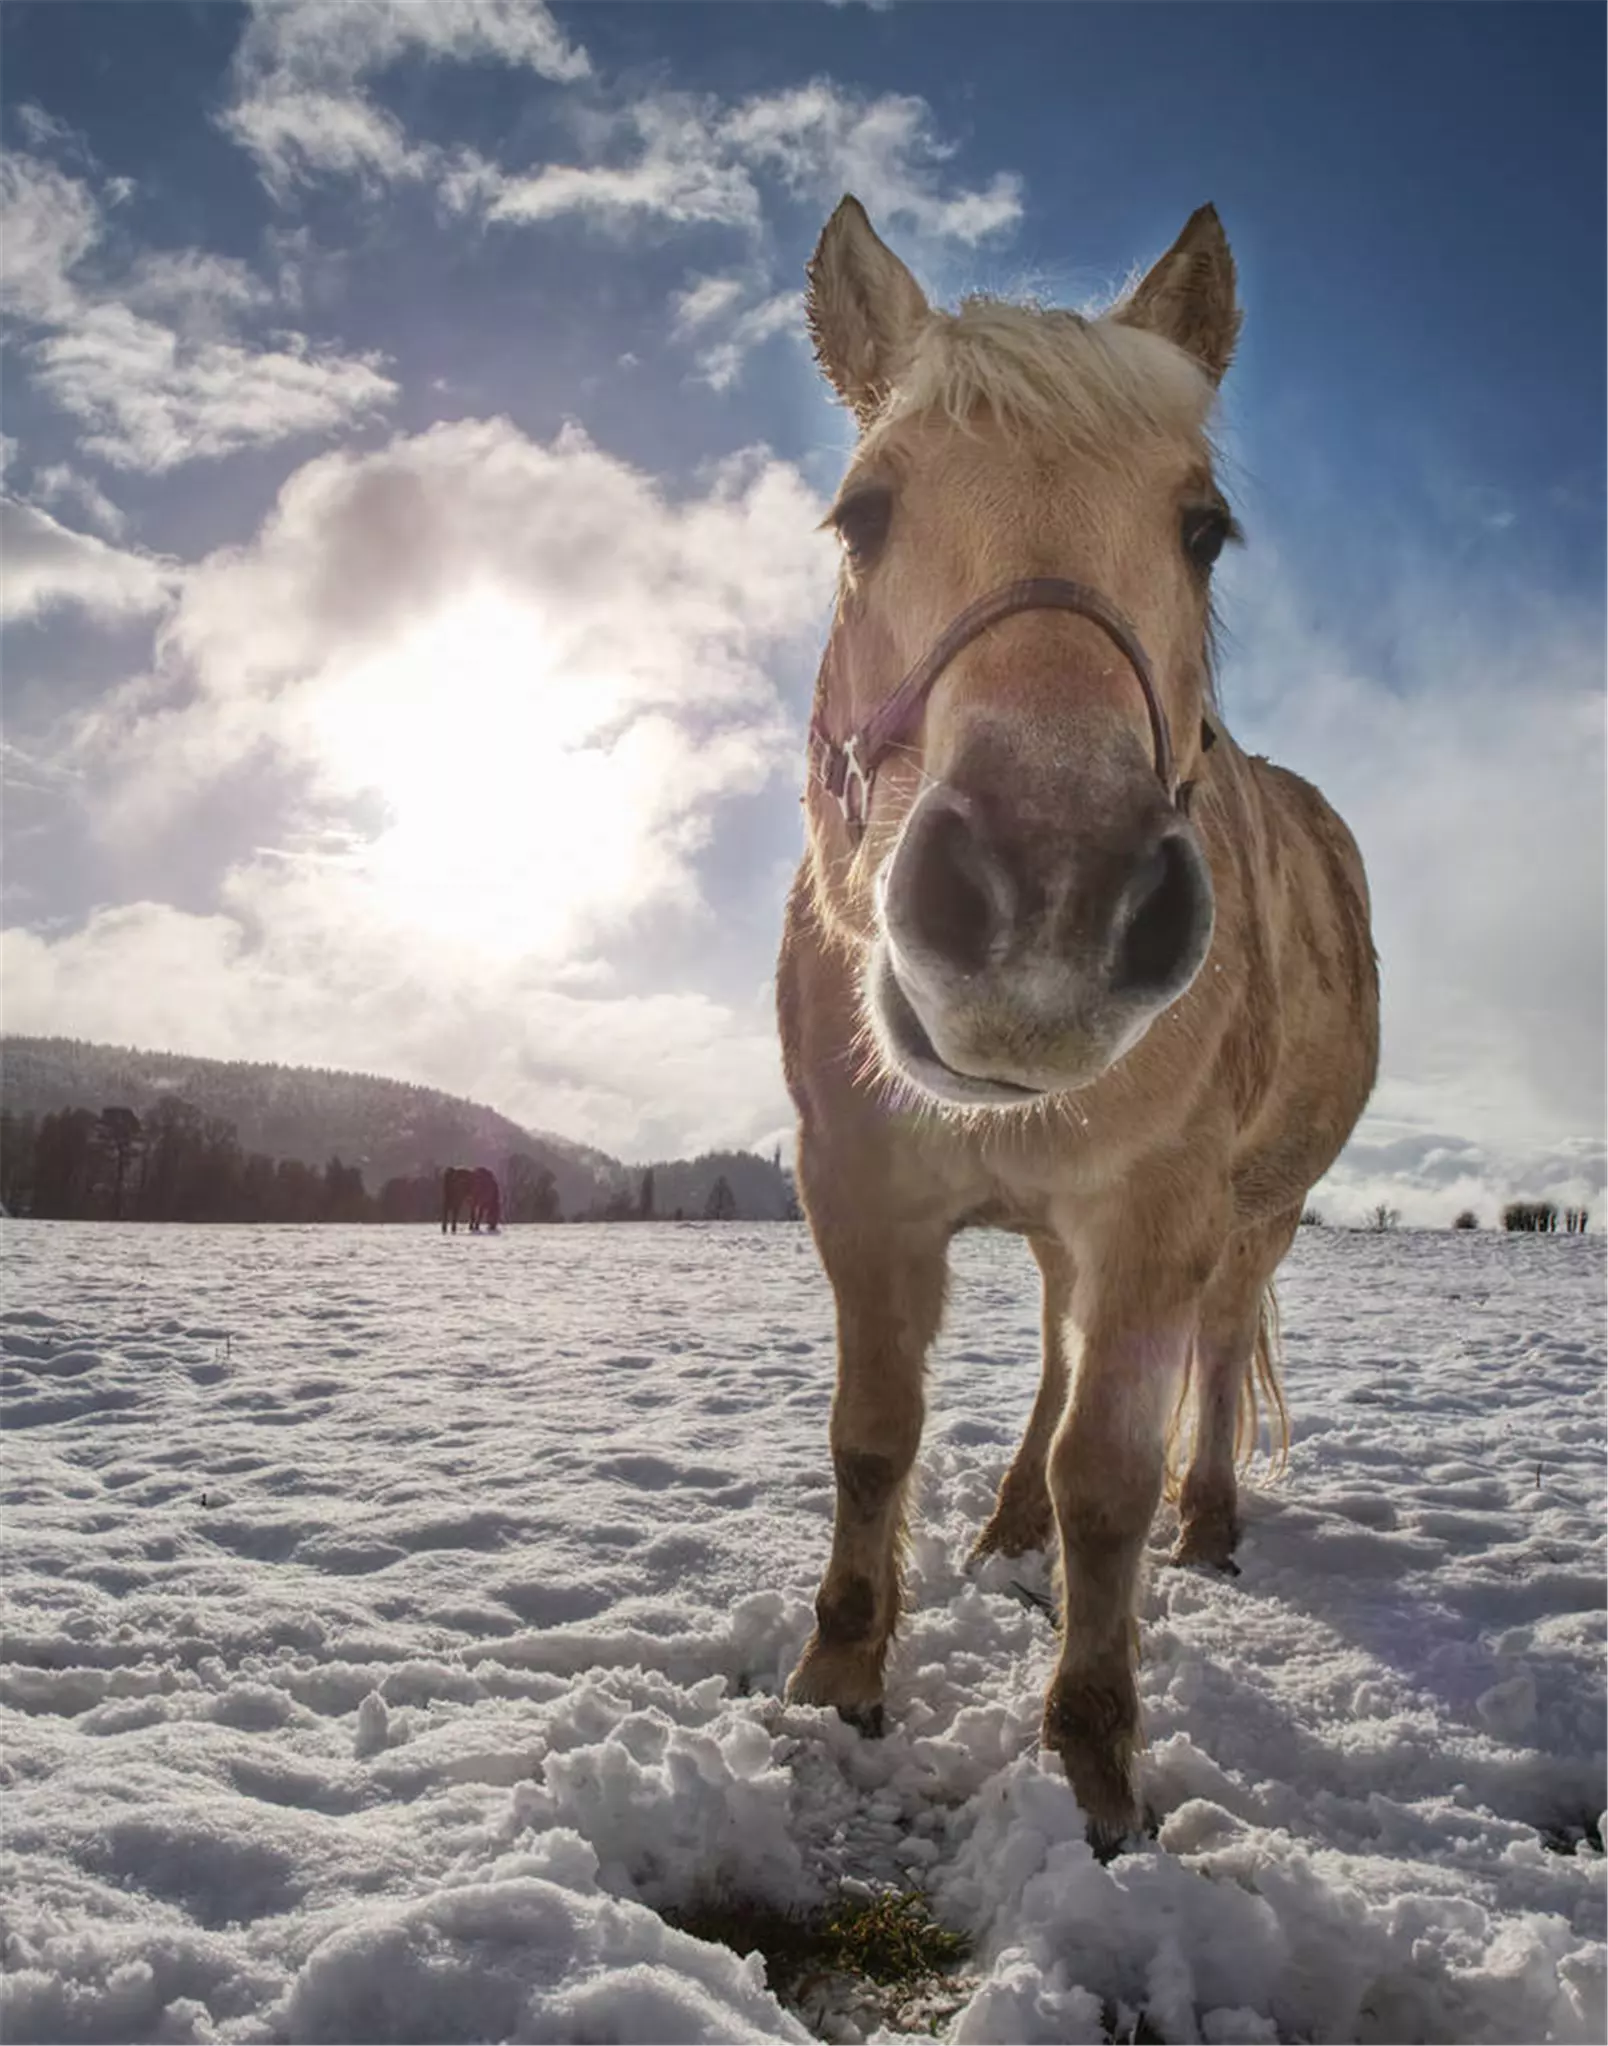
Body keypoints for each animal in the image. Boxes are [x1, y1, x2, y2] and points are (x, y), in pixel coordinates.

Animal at [769, 195, 1374, 1857]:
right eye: (863, 514)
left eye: (1201, 527)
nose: (1052, 893)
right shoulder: (860, 1190)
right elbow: (874, 1435)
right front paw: (836, 1680)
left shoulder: (1157, 1211)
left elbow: (1111, 1469)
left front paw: (1099, 1768)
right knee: (1051, 1355)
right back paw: (1007, 1524)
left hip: (1258, 1209)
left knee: (1213, 1354)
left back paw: (1208, 1522)